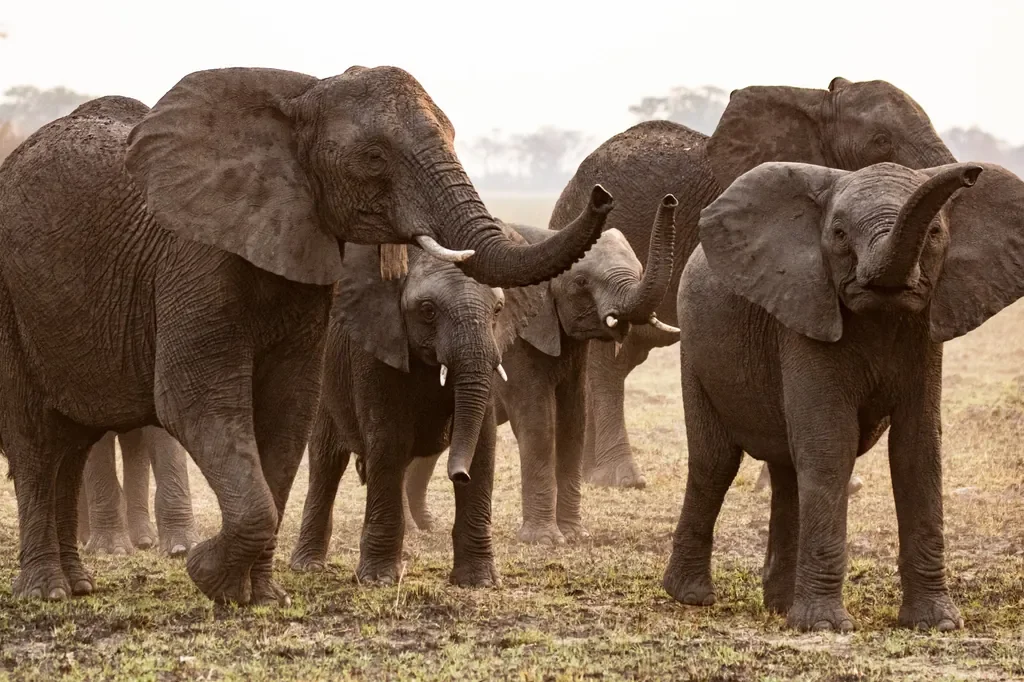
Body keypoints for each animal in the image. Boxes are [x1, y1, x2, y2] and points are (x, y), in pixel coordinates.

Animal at [288, 235, 547, 584]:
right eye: (427, 311)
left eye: (498, 309)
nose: (459, 474)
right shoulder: (376, 348)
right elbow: (387, 438)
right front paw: (378, 580)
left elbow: (483, 442)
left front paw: (478, 581)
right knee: (326, 462)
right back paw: (307, 566)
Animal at [398, 197, 680, 546]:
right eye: (581, 282)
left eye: (640, 271)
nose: (670, 200)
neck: (547, 239)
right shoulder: (518, 342)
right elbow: (539, 422)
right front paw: (545, 541)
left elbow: (573, 420)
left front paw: (575, 535)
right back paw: (411, 531)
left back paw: (426, 526)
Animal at [661, 159, 1024, 632]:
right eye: (837, 234)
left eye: (935, 233)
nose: (971, 173)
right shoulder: (805, 313)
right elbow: (831, 444)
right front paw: (824, 628)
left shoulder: (925, 333)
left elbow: (917, 449)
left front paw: (937, 624)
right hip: (694, 349)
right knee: (715, 461)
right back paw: (691, 597)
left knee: (788, 470)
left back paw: (780, 607)